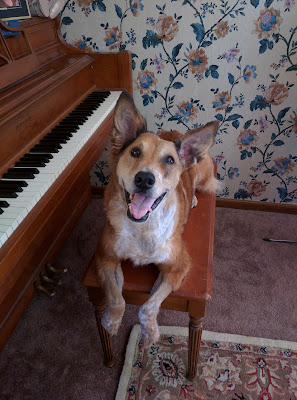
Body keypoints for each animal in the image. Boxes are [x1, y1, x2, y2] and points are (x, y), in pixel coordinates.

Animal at [95, 92, 217, 348]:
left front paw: (149, 332)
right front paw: (111, 322)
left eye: (169, 160)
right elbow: (117, 299)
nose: (144, 179)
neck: (141, 226)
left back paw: (193, 198)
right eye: (135, 152)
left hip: (203, 172)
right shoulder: (105, 257)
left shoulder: (178, 266)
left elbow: (148, 306)